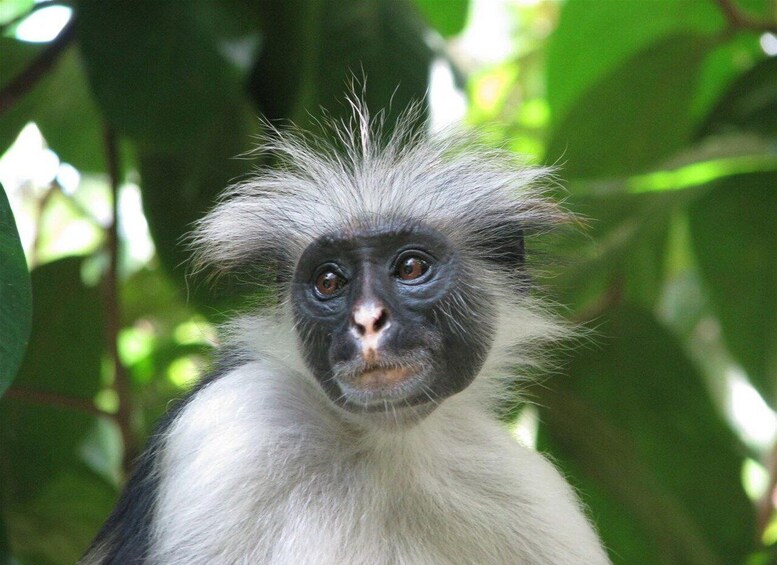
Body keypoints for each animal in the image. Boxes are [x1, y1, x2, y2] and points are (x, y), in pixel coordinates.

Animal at [83, 103, 610, 564]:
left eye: (411, 267)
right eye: (329, 281)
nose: (368, 319)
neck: (388, 445)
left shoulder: (533, 495)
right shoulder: (237, 424)